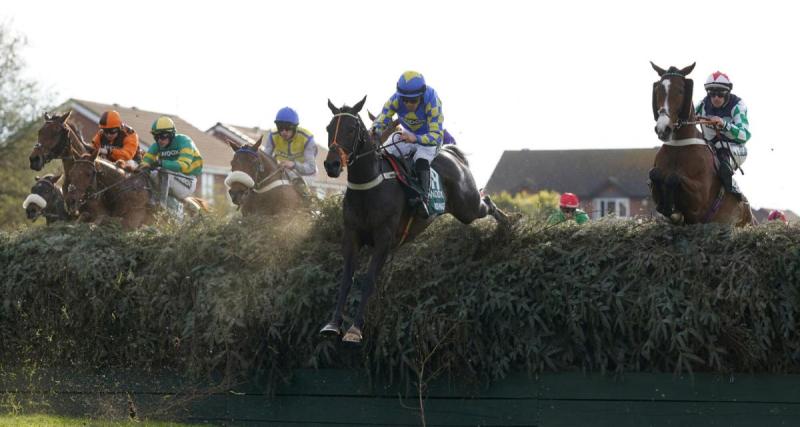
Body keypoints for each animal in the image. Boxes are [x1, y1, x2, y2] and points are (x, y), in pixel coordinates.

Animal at [318, 97, 506, 344]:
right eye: (329, 128)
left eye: (350, 129)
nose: (331, 165)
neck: (369, 185)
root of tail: (451, 153)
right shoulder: (351, 236)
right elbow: (346, 280)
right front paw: (332, 324)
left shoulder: (384, 239)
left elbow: (368, 280)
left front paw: (355, 329)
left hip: (468, 206)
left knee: (487, 201)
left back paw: (509, 222)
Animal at [648, 62, 752, 227]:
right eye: (658, 89)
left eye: (681, 90)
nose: (663, 129)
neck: (679, 146)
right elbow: (655, 174)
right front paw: (670, 210)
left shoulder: (700, 200)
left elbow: (673, 177)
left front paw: (674, 211)